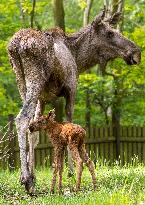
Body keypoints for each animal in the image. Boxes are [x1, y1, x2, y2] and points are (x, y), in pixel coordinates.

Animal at [7, 8, 140, 194]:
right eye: (109, 33)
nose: (136, 52)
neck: (78, 57)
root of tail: (15, 46)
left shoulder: (43, 99)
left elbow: (35, 134)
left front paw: (35, 175)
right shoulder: (71, 89)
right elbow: (69, 122)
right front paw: (69, 171)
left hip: (21, 84)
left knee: (27, 122)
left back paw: (28, 177)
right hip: (35, 80)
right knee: (21, 119)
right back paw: (26, 179)